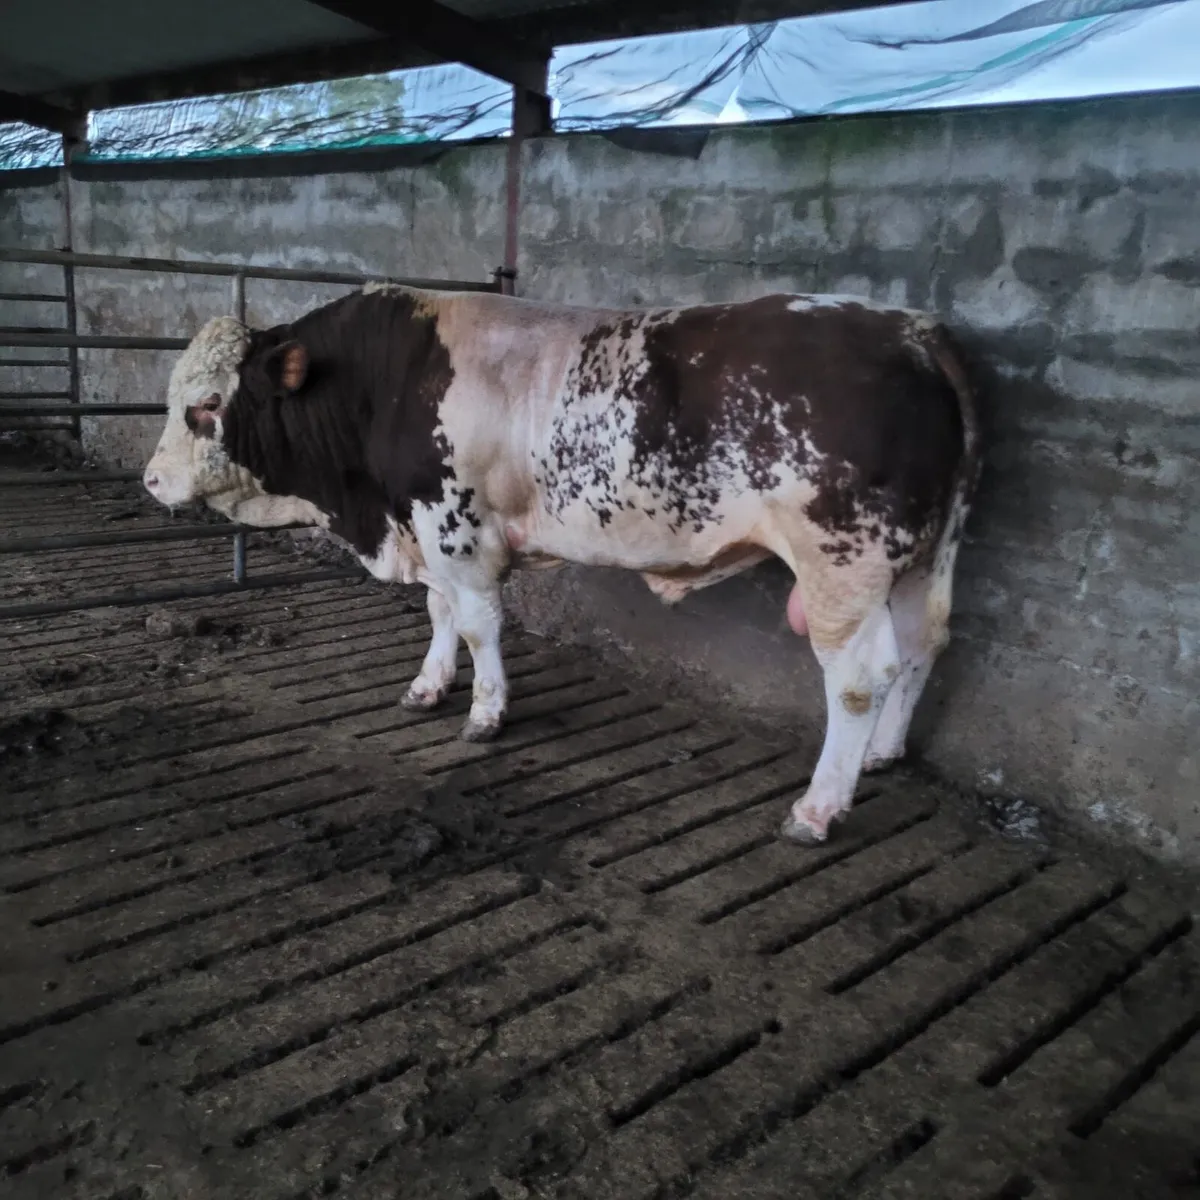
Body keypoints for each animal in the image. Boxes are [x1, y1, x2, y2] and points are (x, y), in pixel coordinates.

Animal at [143, 284, 979, 846]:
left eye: (205, 407)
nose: (152, 481)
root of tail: (910, 330)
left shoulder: (456, 527)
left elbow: (478, 624)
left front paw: (484, 713)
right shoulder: (424, 529)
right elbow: (439, 613)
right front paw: (428, 686)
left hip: (843, 562)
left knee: (860, 679)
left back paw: (819, 806)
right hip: (922, 556)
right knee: (921, 647)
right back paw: (885, 754)